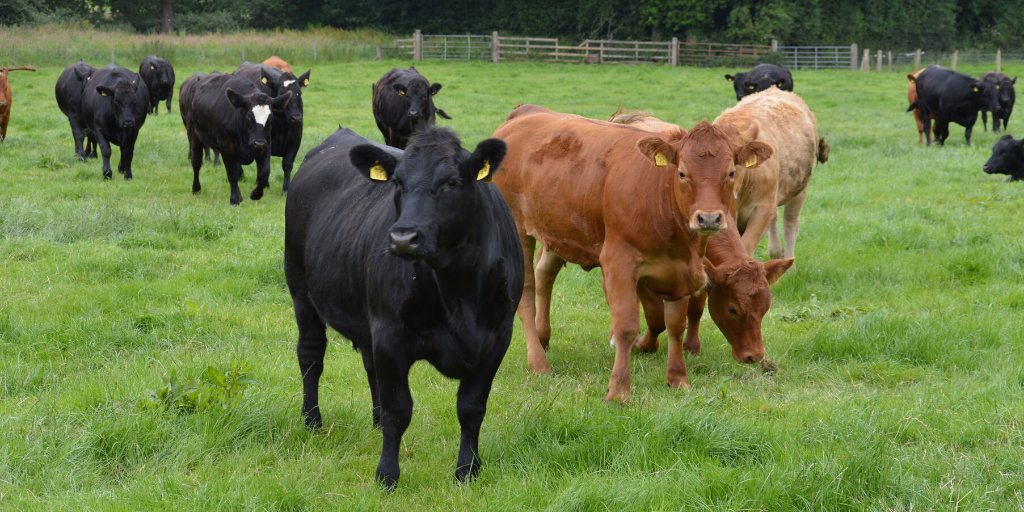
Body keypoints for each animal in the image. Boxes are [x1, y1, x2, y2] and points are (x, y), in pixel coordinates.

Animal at [181, 70, 291, 205]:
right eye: (249, 116)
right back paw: (196, 189)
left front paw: (256, 194)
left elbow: (264, 173)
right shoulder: (226, 146)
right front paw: (235, 198)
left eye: (270, 118)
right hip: (194, 134)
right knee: (196, 163)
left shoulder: (266, 144)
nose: (258, 143)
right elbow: (232, 172)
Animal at [235, 62, 311, 191]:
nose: (296, 118)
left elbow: (287, 164)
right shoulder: (264, 141)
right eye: (282, 94)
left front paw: (286, 188)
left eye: (299, 93)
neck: (283, 126)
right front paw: (264, 184)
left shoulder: (296, 140)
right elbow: (264, 164)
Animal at [284, 126, 522, 490]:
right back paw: (312, 420)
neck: (457, 288)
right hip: (300, 288)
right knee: (311, 356)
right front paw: (387, 476)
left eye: (452, 181)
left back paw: (374, 421)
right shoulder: (391, 334)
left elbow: (471, 408)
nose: (403, 238)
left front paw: (467, 470)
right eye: (398, 183)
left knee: (369, 366)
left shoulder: (498, 336)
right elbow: (398, 409)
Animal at [492, 104, 772, 401]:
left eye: (730, 173)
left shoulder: (683, 270)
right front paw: (619, 388)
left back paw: (543, 337)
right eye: (682, 173)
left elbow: (675, 323)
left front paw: (678, 379)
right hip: (517, 230)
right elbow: (630, 323)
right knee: (525, 291)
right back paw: (538, 362)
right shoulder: (619, 264)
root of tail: (526, 112)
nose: (754, 356)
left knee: (545, 274)